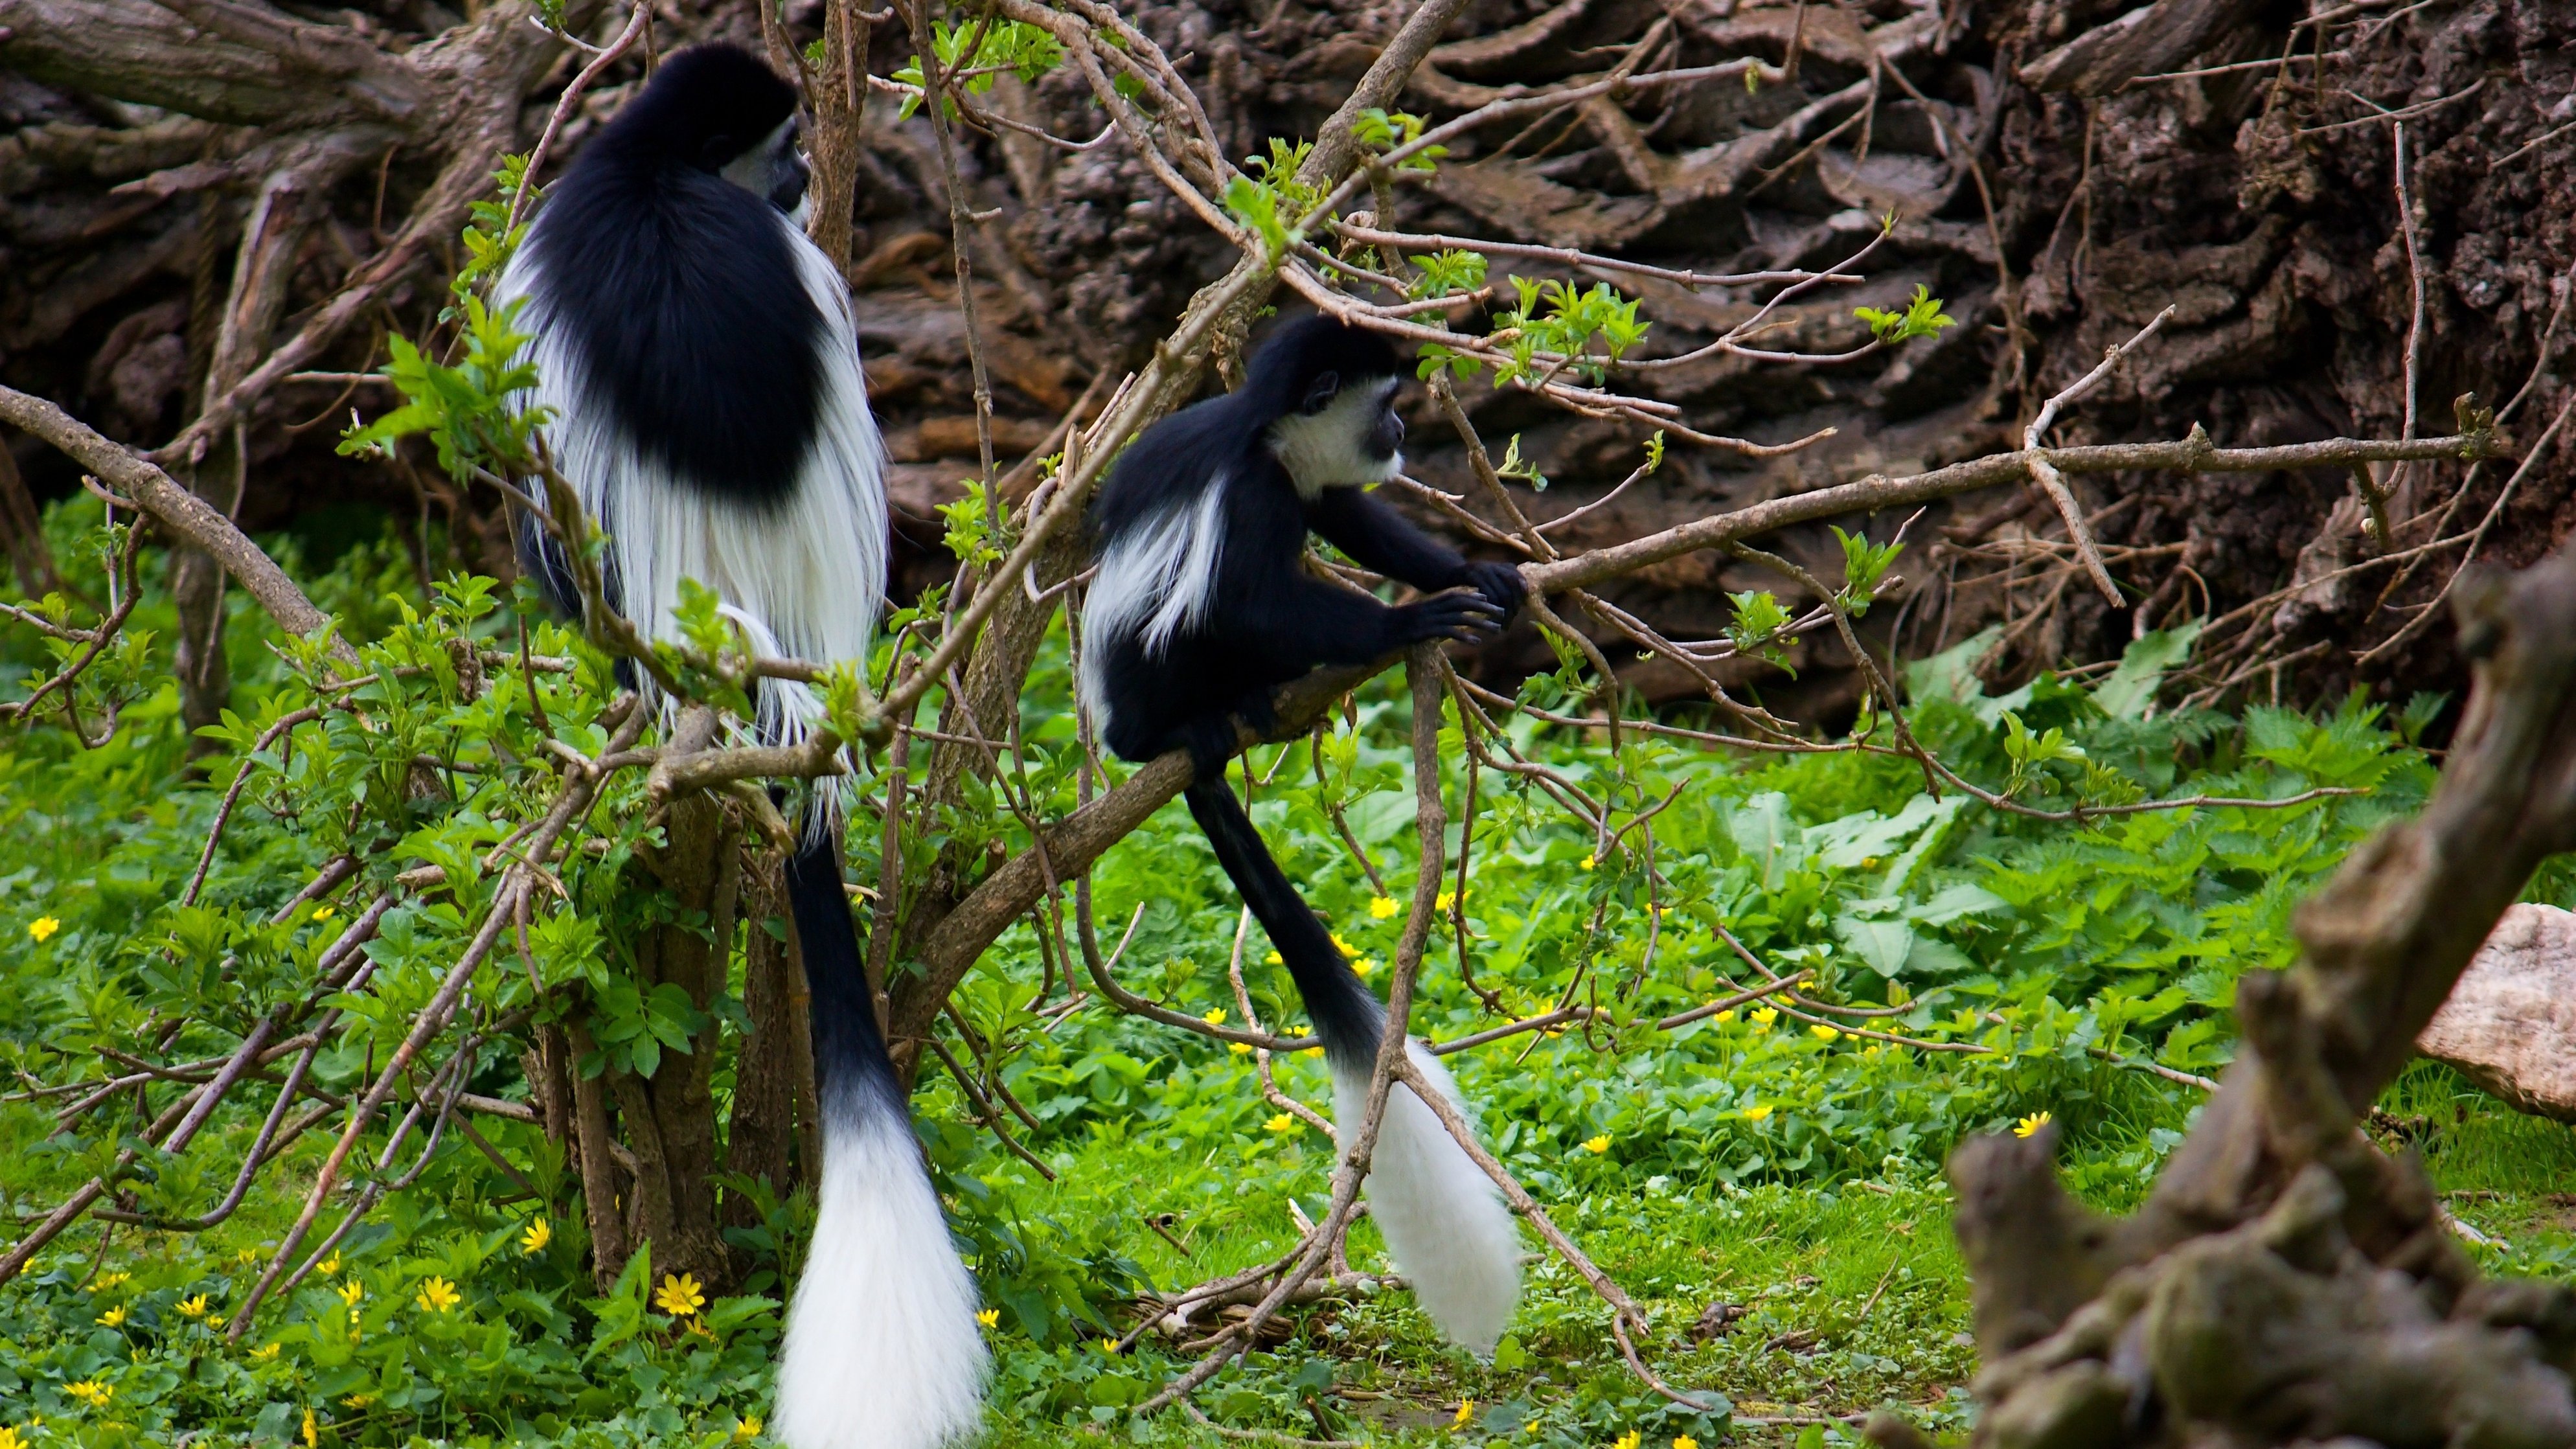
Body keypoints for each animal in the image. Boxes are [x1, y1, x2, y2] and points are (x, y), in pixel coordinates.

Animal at [1080, 314, 1529, 1353]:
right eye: (1388, 403)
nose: (1401, 433)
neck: (1264, 436)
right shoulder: (1249, 498)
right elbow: (1245, 598)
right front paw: (1410, 621)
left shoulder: (1306, 485)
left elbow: (1347, 512)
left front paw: (1469, 572)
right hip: (1155, 681)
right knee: (1200, 622)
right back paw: (1205, 723)